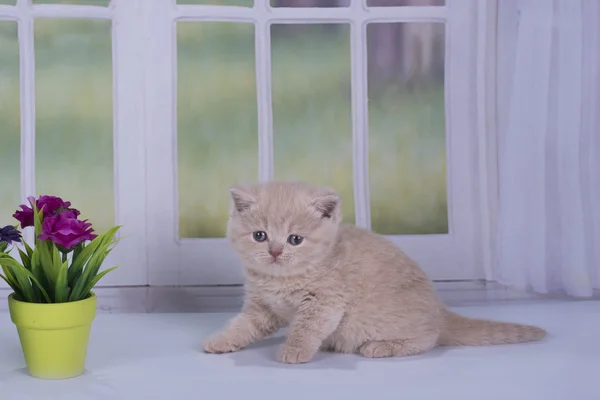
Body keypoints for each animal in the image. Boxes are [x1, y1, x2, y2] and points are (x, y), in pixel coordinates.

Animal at [203, 183, 548, 364]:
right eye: (260, 236)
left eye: (295, 239)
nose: (275, 252)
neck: (281, 279)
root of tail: (440, 309)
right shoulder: (262, 307)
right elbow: (243, 325)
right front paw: (221, 341)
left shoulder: (325, 301)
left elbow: (307, 327)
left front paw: (295, 349)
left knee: (429, 339)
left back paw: (380, 347)